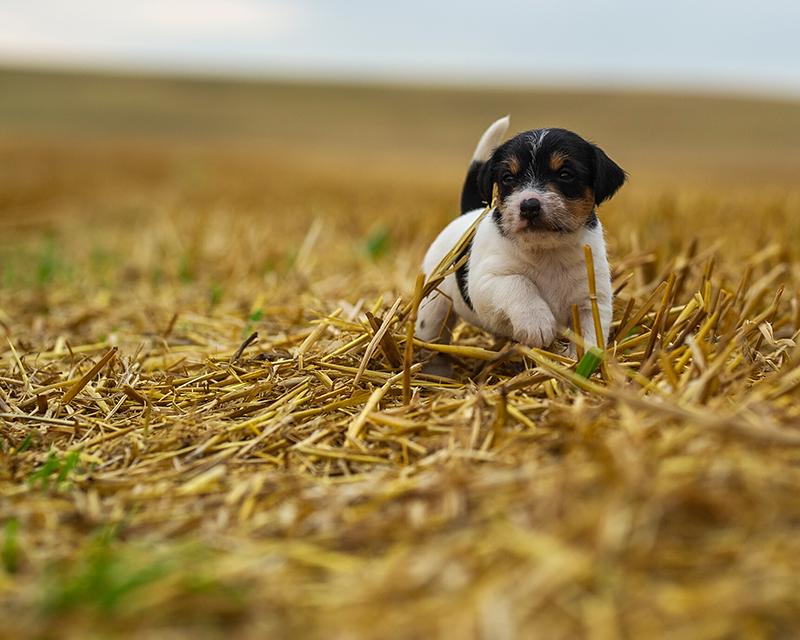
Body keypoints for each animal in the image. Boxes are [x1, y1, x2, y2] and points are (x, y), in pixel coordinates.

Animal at [416, 116, 628, 376]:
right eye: (508, 178)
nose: (529, 206)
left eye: (565, 174)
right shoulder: (484, 282)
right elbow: (518, 283)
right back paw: (435, 374)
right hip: (433, 309)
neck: (547, 252)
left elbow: (591, 338)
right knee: (433, 342)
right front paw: (537, 323)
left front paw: (583, 368)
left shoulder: (592, 301)